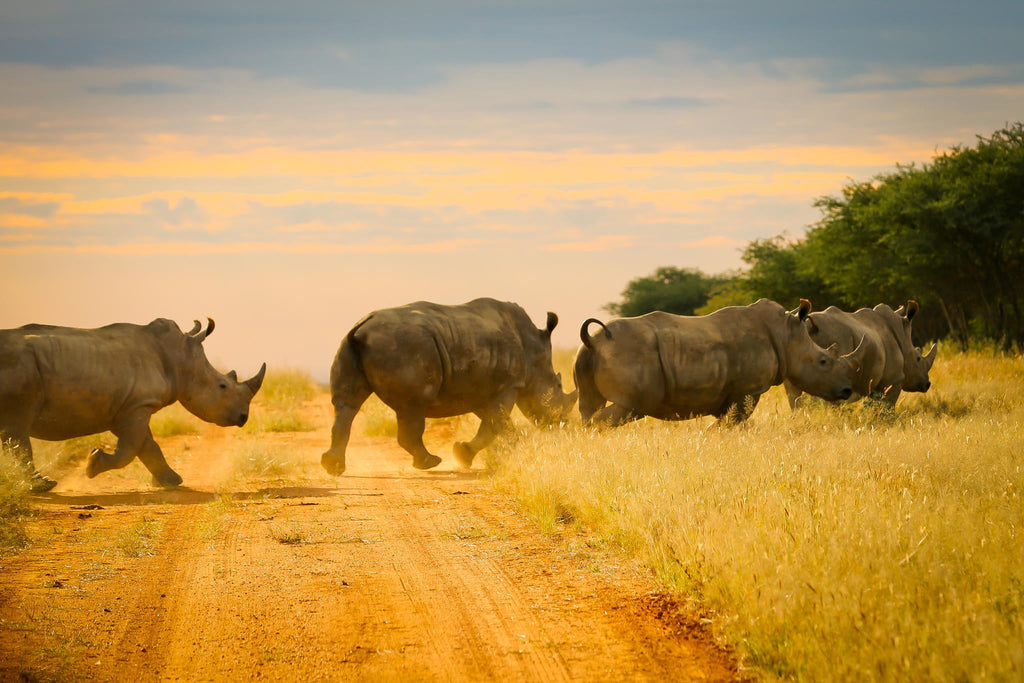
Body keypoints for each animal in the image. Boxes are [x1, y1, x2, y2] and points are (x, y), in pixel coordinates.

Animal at [0, 318, 266, 492]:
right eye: (223, 386)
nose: (243, 417)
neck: (181, 359)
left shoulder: (127, 407)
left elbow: (148, 446)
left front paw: (171, 482)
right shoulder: (137, 406)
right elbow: (130, 448)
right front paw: (93, 464)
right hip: (20, 369)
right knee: (18, 428)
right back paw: (44, 486)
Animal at [321, 298, 577, 474]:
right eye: (558, 386)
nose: (561, 424)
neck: (534, 352)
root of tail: (361, 330)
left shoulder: (481, 390)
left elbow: (496, 422)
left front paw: (513, 450)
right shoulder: (508, 385)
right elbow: (495, 424)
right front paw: (466, 455)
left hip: (349, 346)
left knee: (346, 404)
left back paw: (332, 467)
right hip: (405, 348)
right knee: (412, 406)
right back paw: (430, 462)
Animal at [574, 298, 864, 427]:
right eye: (823, 361)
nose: (846, 390)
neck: (787, 336)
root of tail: (596, 341)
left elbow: (730, 422)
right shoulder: (749, 389)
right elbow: (733, 421)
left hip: (586, 355)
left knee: (588, 409)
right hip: (629, 359)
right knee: (623, 409)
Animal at [783, 301, 938, 409]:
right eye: (918, 358)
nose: (927, 384)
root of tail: (809, 326)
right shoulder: (893, 379)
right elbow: (887, 408)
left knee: (794, 394)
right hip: (837, 337)